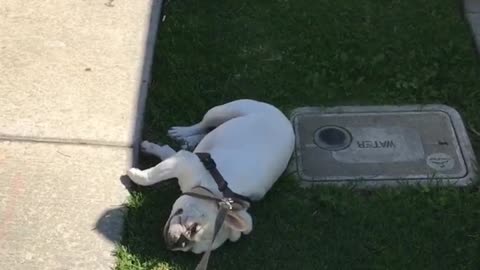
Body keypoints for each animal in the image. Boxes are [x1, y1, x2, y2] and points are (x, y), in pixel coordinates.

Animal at [125, 99, 294, 253]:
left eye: (195, 251)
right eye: (194, 228)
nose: (178, 244)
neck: (216, 191)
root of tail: (285, 119)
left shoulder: (181, 161)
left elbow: (168, 154)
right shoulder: (184, 162)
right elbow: (152, 176)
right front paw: (136, 174)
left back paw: (189, 140)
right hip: (224, 111)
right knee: (204, 124)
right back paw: (183, 132)